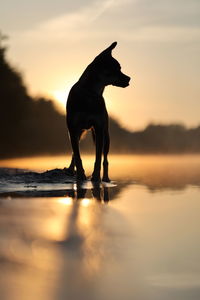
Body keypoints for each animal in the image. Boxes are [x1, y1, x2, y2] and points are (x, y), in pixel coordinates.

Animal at [66, 41, 130, 183]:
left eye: (120, 68)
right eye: (116, 68)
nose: (129, 79)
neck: (90, 94)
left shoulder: (99, 128)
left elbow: (98, 157)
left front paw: (95, 177)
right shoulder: (73, 128)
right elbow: (77, 155)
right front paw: (80, 175)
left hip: (105, 136)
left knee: (105, 158)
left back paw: (106, 178)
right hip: (79, 133)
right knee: (74, 151)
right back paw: (70, 170)